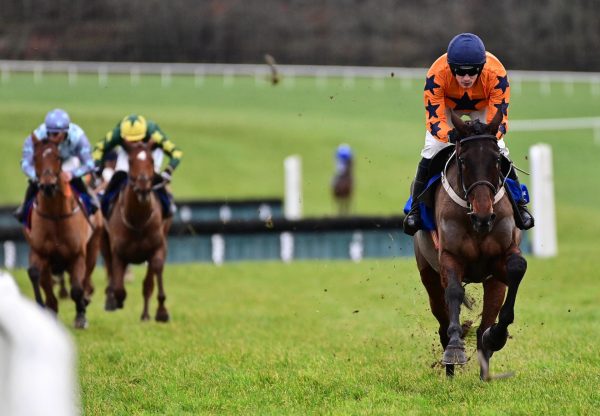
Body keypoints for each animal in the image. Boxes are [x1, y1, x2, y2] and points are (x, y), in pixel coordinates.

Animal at [24, 135, 102, 330]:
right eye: (34, 157)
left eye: (58, 157)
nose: (48, 186)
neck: (56, 215)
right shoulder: (39, 252)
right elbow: (34, 274)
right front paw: (42, 306)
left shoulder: (77, 254)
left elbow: (77, 289)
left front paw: (81, 314)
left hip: (93, 247)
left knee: (86, 280)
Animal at [101, 140, 171, 322]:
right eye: (131, 161)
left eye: (152, 160)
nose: (143, 187)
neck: (138, 221)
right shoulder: (119, 253)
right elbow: (119, 287)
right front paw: (116, 300)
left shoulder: (157, 247)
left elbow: (152, 277)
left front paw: (161, 312)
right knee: (109, 268)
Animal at [414, 109, 528, 378]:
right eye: (463, 161)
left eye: (497, 161)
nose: (483, 216)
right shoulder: (449, 257)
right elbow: (455, 291)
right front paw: (455, 349)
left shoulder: (500, 260)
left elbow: (517, 268)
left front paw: (496, 336)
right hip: (428, 275)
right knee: (442, 320)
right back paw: (450, 370)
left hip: (493, 283)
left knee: (484, 325)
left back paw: (486, 364)